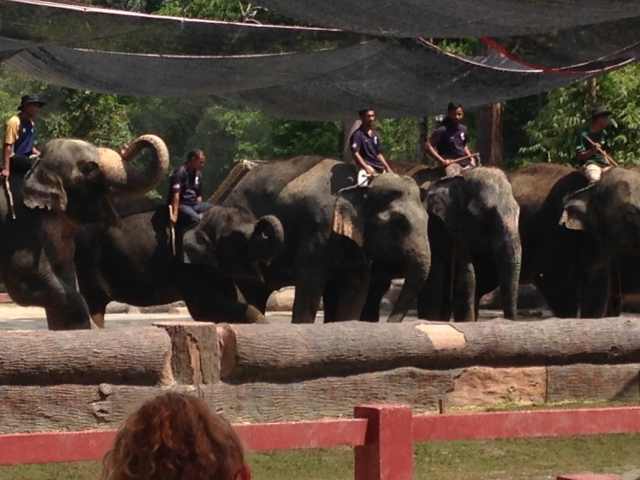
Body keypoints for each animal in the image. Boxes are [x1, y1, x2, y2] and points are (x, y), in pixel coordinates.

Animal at [74, 198, 284, 326]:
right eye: (238, 238)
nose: (261, 222)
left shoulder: (210, 267)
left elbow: (233, 299)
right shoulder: (190, 267)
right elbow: (204, 307)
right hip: (88, 259)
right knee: (94, 303)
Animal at [224, 156, 430, 324]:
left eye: (428, 219)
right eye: (399, 222)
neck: (360, 187)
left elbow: (357, 287)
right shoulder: (318, 229)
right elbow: (309, 282)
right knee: (250, 291)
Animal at [358, 163, 524, 324]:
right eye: (488, 216)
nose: (508, 320)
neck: (461, 177)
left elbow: (466, 277)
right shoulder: (433, 227)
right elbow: (434, 283)